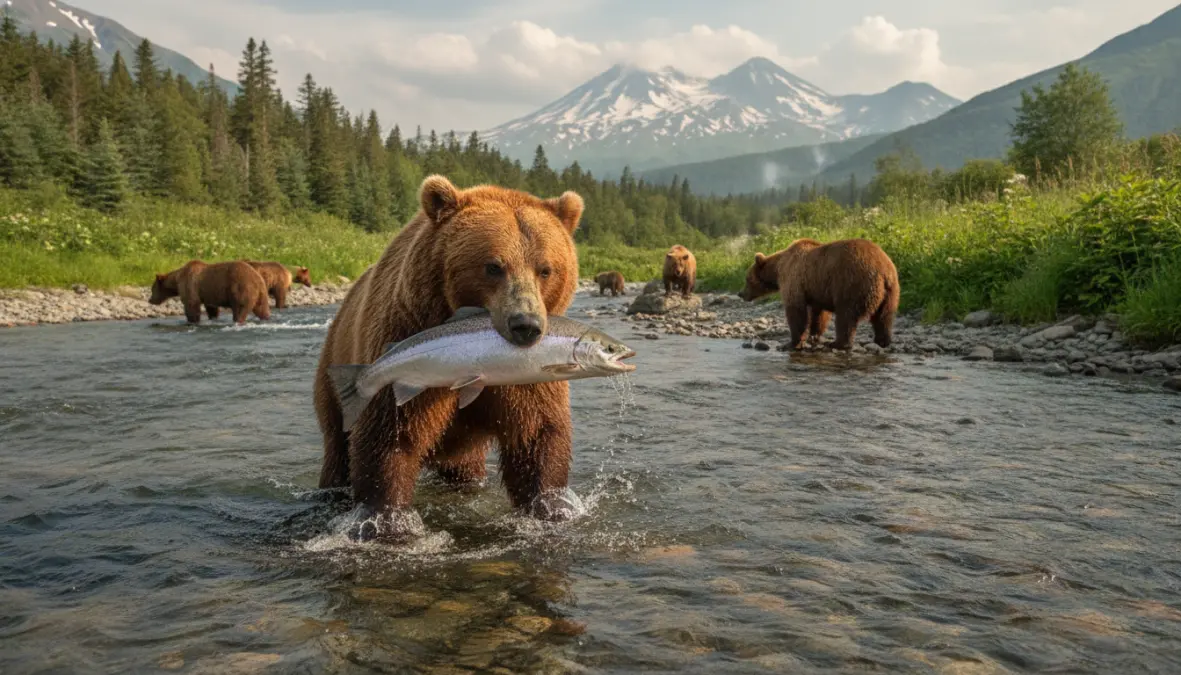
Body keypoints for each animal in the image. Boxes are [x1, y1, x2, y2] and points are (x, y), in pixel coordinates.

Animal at [313, 175, 585, 540]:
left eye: (545, 269)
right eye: (493, 266)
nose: (525, 325)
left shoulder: (529, 373)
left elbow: (537, 433)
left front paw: (552, 507)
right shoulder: (405, 336)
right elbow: (391, 433)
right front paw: (386, 520)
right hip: (334, 368)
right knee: (337, 443)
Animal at [737, 238, 899, 351]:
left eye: (747, 279)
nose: (740, 293)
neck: (777, 269)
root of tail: (883, 271)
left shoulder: (794, 278)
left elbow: (796, 310)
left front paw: (791, 342)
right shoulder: (817, 289)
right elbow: (818, 313)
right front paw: (813, 335)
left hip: (852, 283)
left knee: (846, 316)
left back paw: (838, 343)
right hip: (891, 293)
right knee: (884, 317)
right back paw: (882, 340)